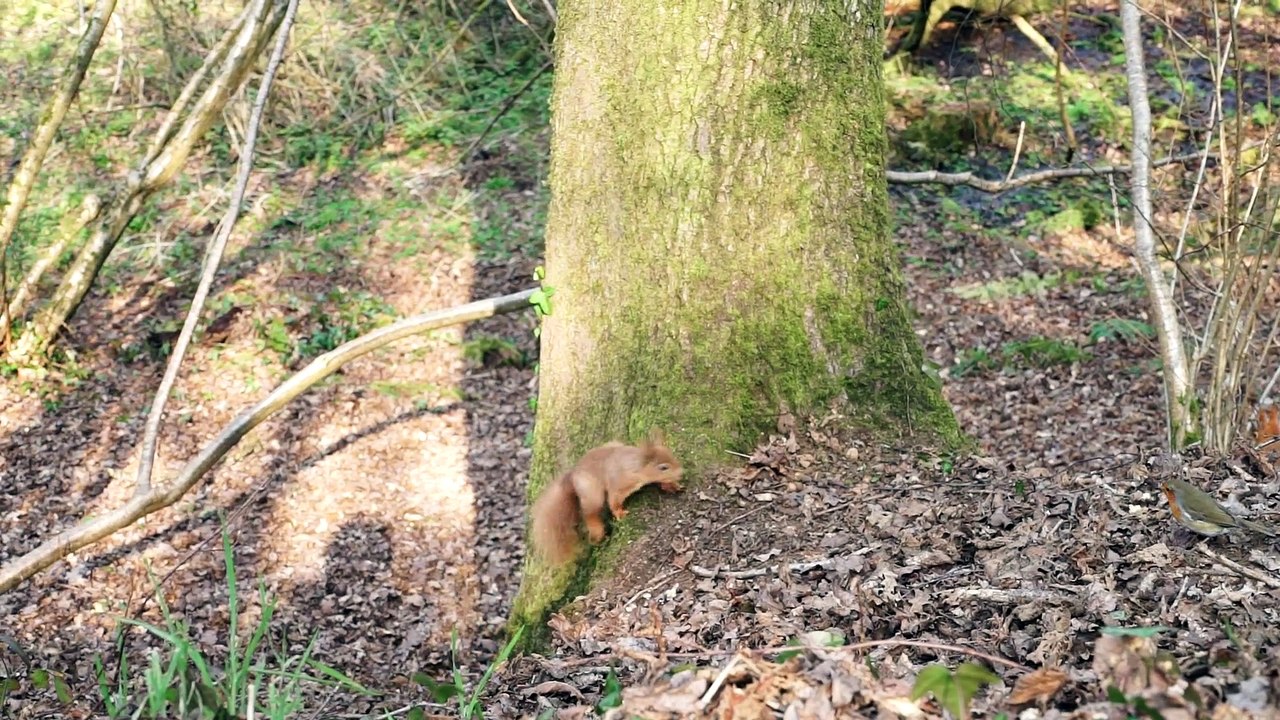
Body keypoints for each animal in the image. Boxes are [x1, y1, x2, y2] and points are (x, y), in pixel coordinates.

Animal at [529, 430, 684, 566]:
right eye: (663, 467)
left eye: (672, 455)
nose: (681, 472)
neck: (635, 468)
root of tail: (573, 475)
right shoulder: (619, 483)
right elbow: (613, 500)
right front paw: (619, 513)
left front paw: (671, 485)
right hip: (592, 492)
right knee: (590, 513)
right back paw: (597, 531)